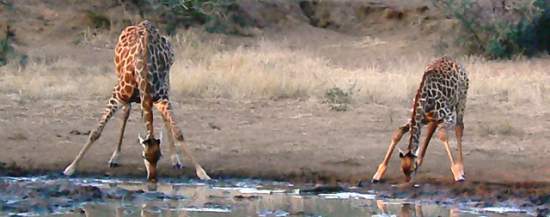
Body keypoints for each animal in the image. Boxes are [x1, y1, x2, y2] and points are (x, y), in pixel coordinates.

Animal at [63, 20, 211, 182]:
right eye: (144, 156)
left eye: (159, 156)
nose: (152, 179)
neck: (143, 69)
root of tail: (143, 22)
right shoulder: (117, 95)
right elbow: (95, 132)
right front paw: (70, 168)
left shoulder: (161, 97)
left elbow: (178, 132)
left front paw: (201, 172)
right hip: (122, 82)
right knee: (126, 112)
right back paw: (115, 157)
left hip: (166, 82)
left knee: (162, 117)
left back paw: (175, 160)